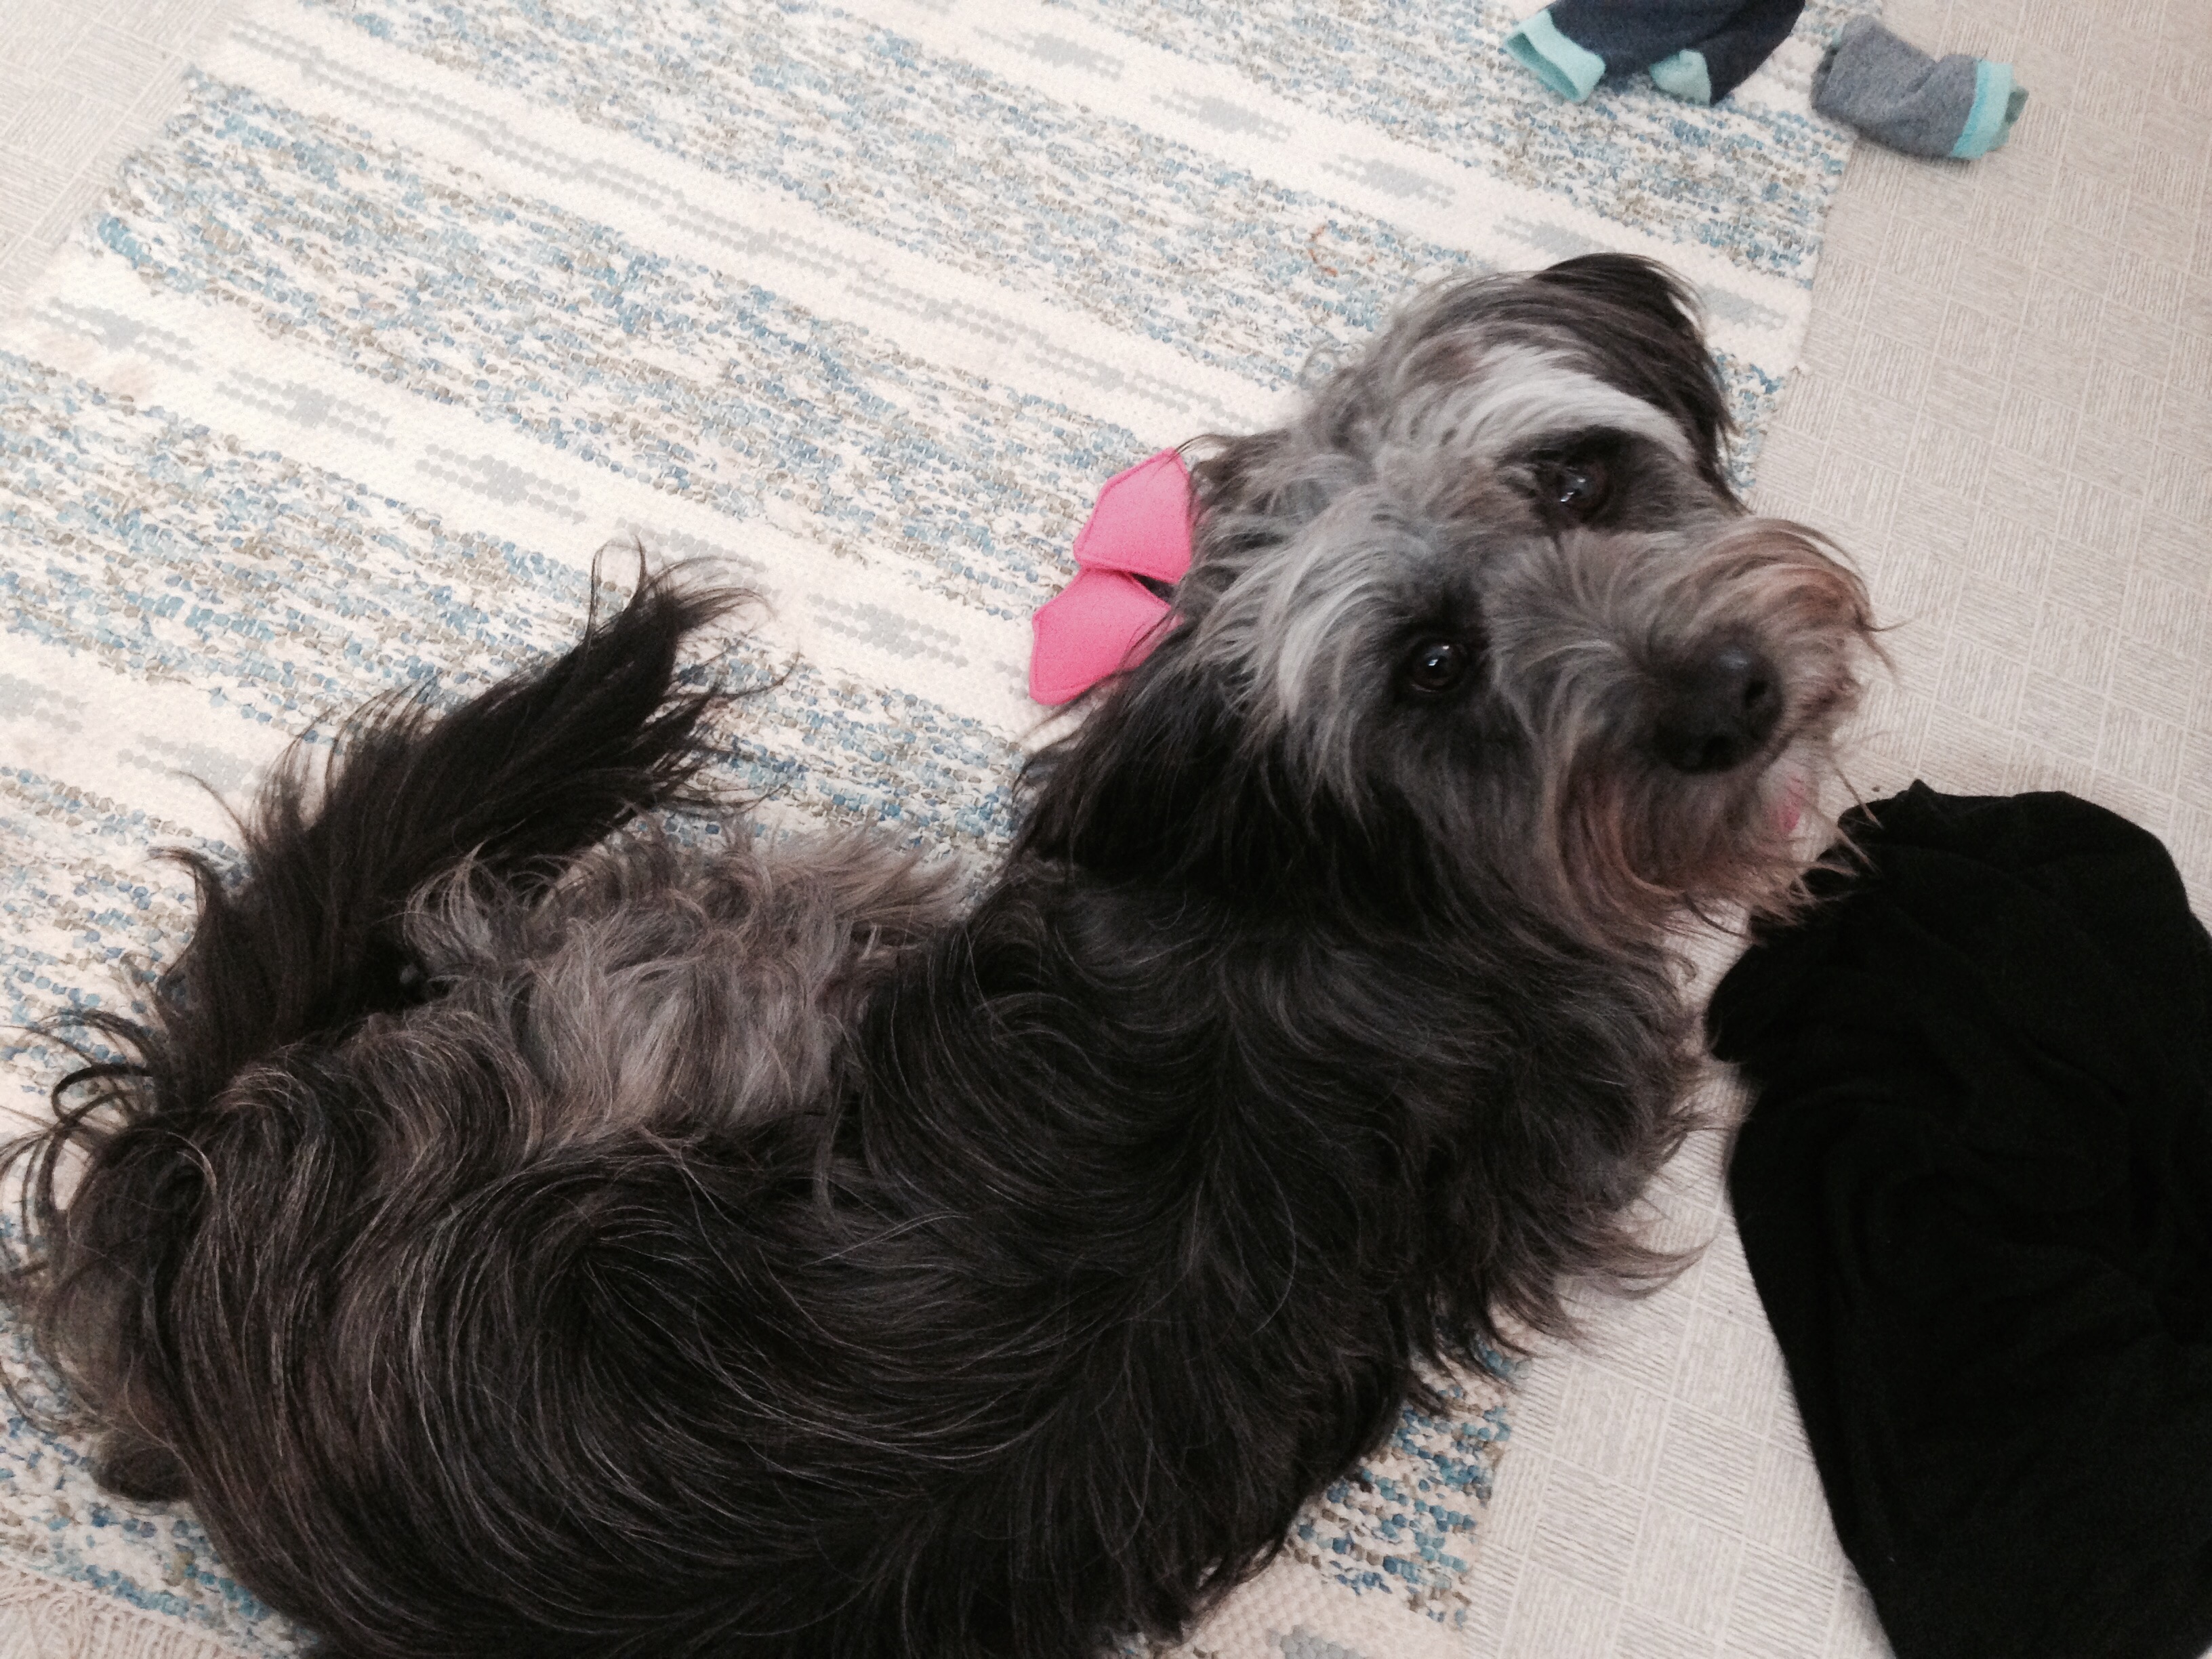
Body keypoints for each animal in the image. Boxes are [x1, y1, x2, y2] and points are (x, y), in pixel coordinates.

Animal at [3, 254, 1873, 1658]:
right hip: (751, 928)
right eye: (1430, 661)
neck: (1326, 865)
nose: (1733, 703)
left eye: (1575, 477)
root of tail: (181, 1220)